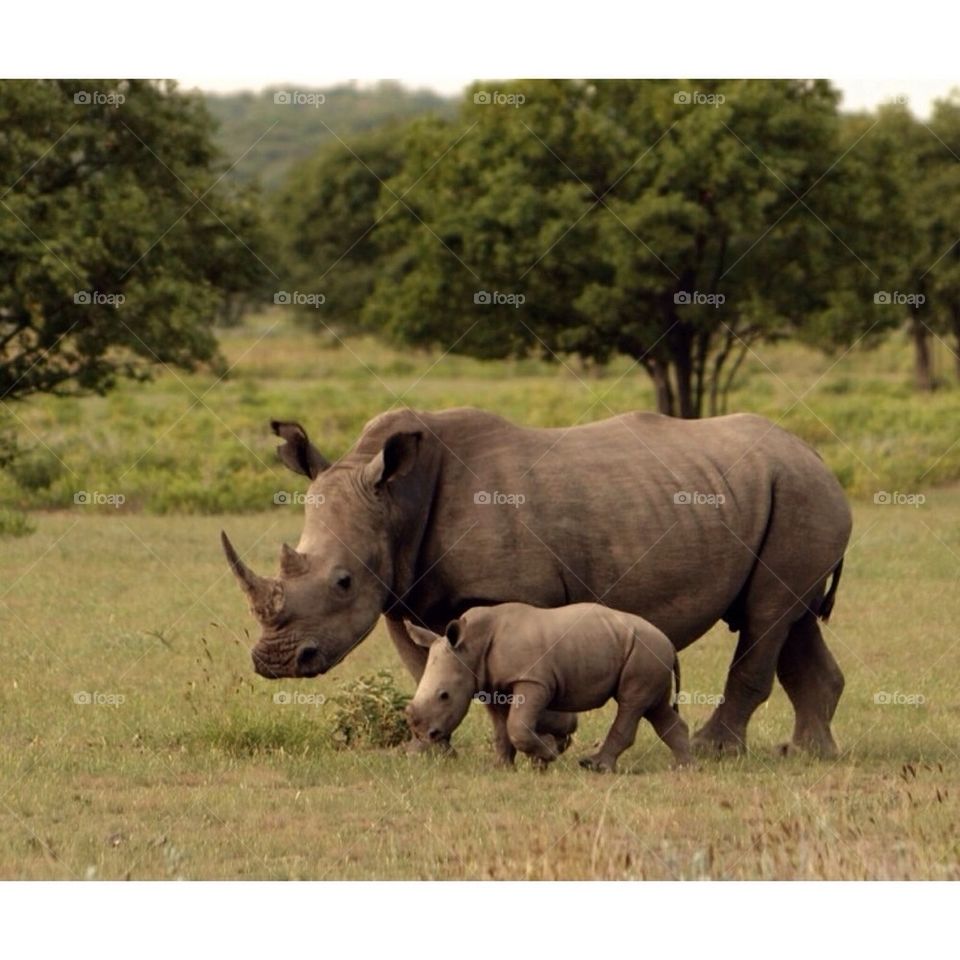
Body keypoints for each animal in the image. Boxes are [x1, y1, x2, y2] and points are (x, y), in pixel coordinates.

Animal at [404, 602, 692, 772]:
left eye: (444, 695)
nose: (424, 735)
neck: (472, 644)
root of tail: (668, 642)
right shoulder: (492, 686)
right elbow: (501, 729)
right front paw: (501, 768)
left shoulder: (533, 680)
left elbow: (517, 726)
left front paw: (549, 753)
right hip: (648, 652)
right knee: (655, 708)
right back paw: (683, 767)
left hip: (645, 651)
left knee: (631, 704)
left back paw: (594, 767)